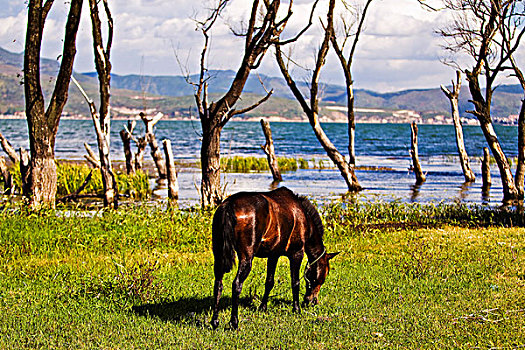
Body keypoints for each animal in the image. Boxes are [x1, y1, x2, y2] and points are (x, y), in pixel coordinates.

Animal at [211, 187, 338, 330]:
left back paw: (215, 321)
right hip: (246, 258)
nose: (312, 301)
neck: (303, 217)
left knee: (218, 284)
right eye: (322, 277)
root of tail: (229, 205)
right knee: (237, 284)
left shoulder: (273, 255)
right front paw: (296, 309)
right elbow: (295, 282)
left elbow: (269, 282)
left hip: (219, 255)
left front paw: (262, 307)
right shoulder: (297, 253)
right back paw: (234, 322)